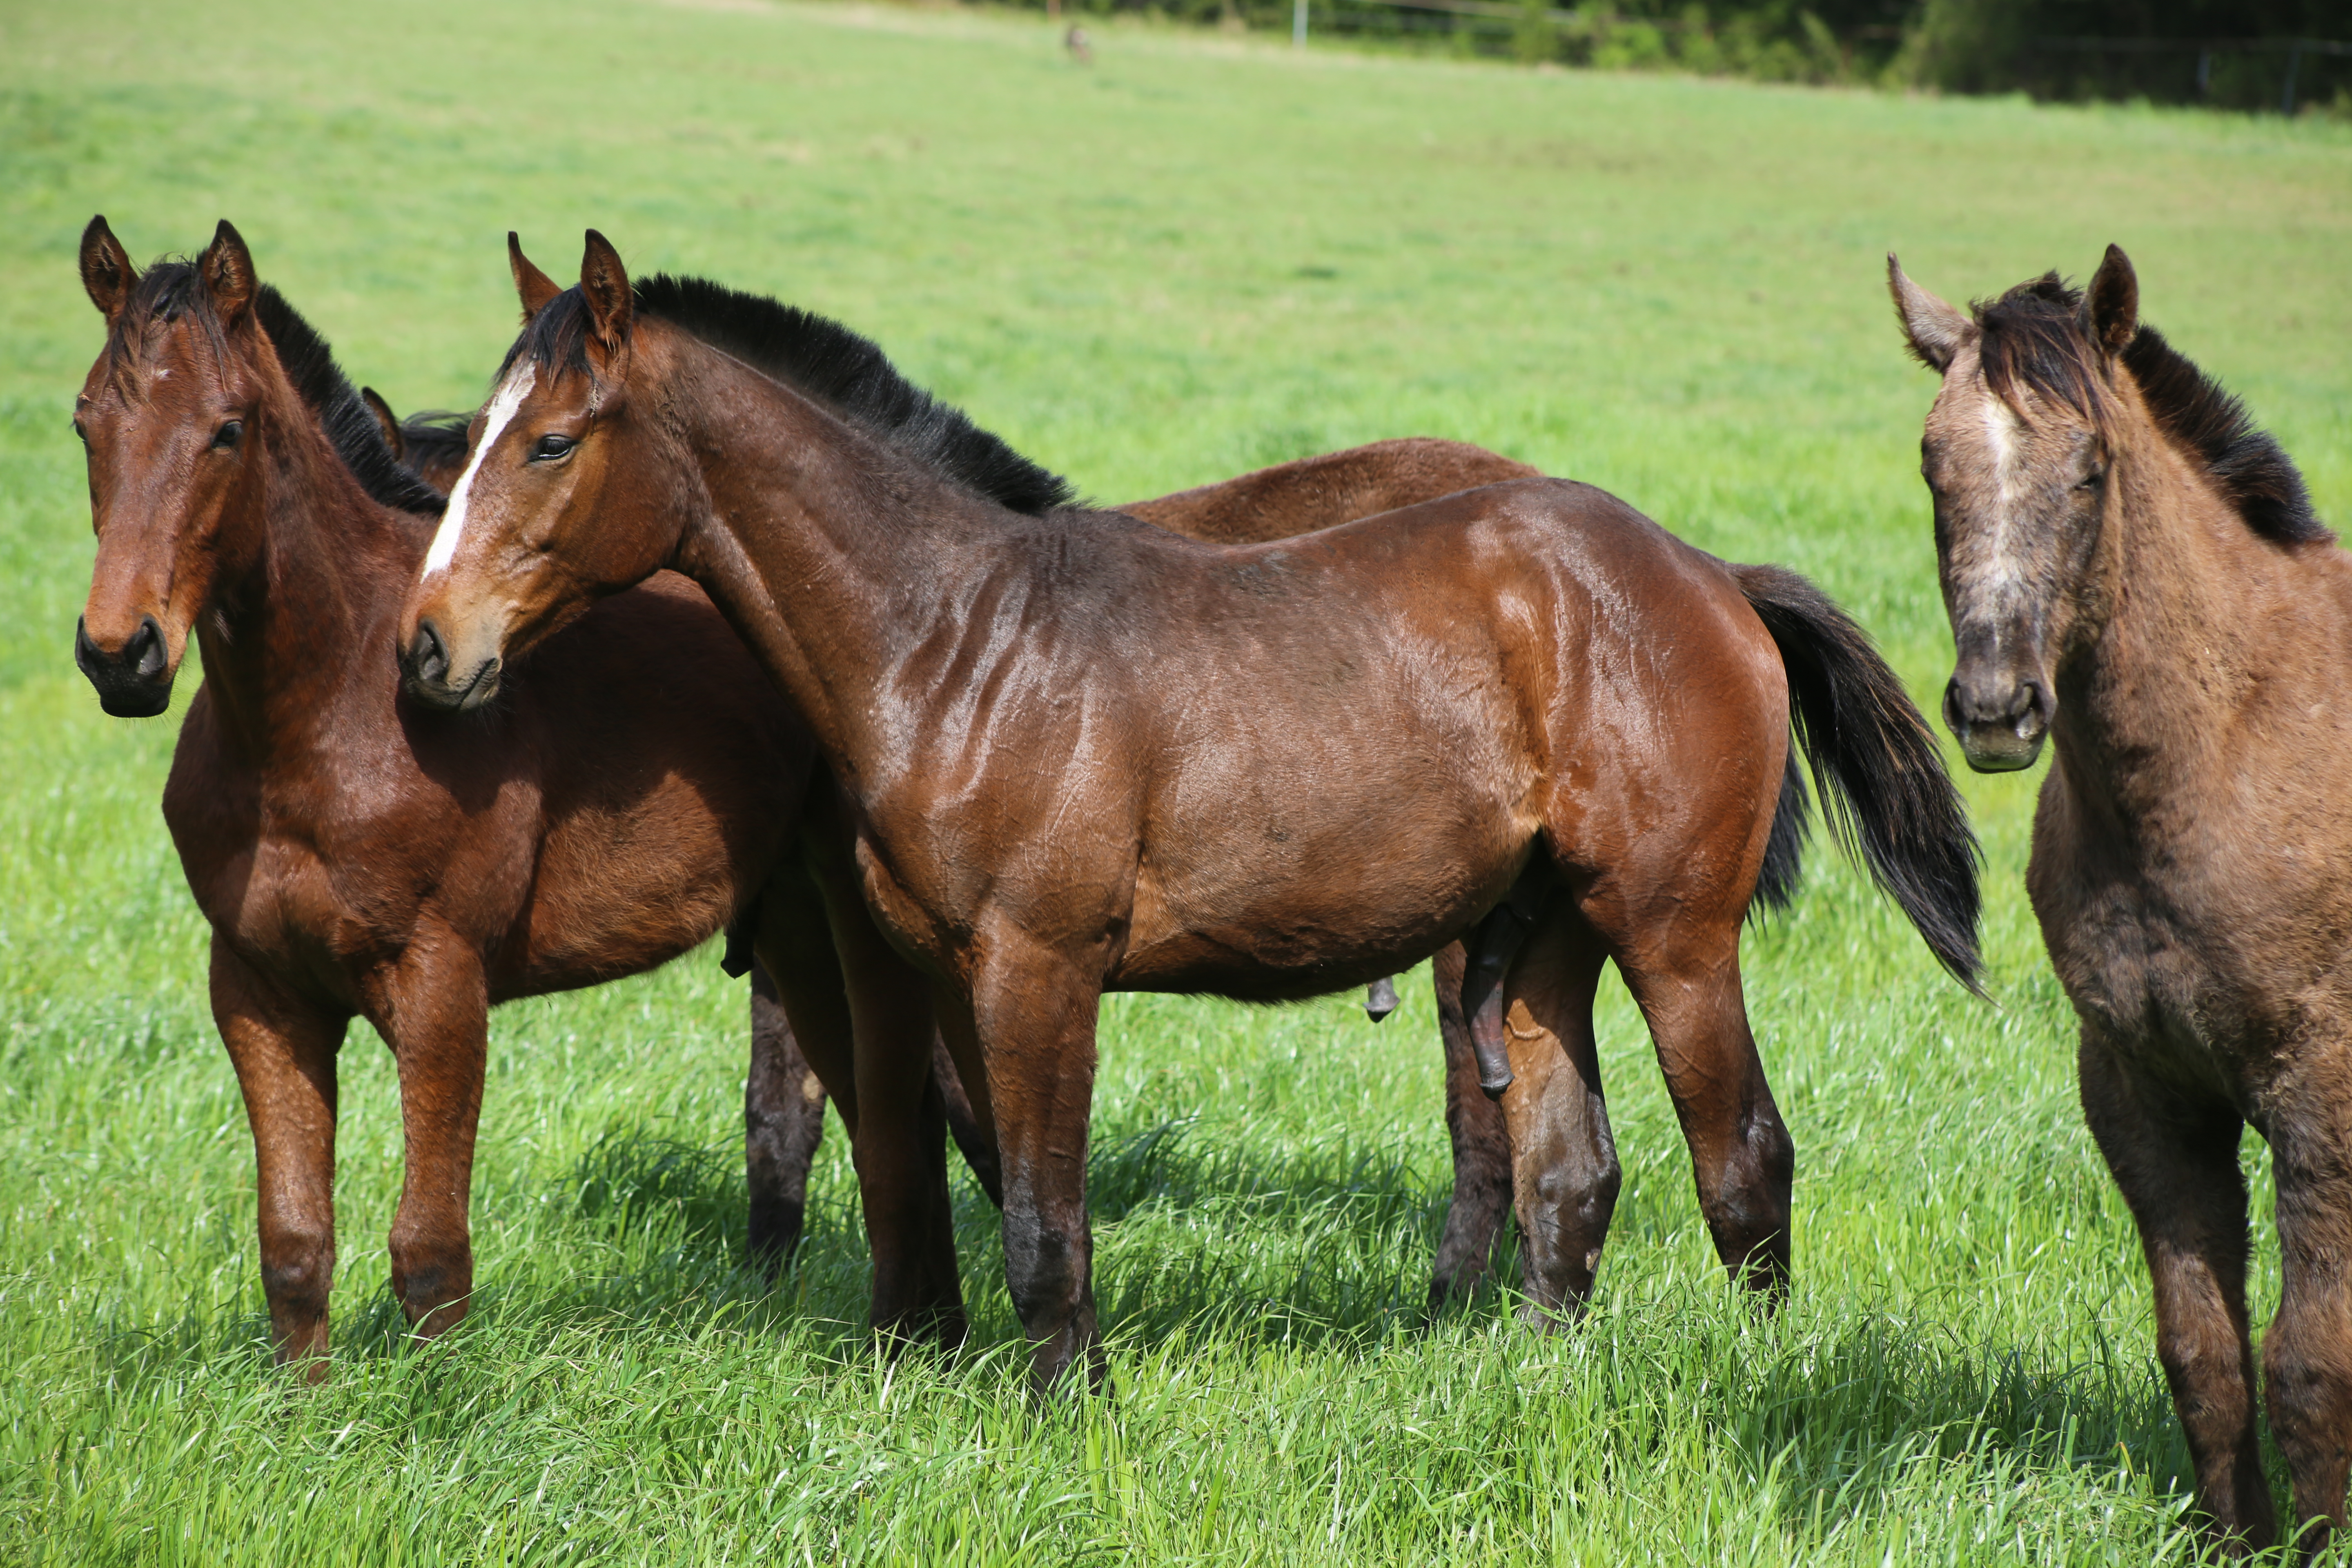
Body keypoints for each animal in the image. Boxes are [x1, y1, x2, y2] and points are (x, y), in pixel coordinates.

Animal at [404, 230, 1985, 1382]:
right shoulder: (916, 966)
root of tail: (1711, 574)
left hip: (1673, 932)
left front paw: (1070, 1404)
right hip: (1544, 937)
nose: (431, 647)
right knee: (1569, 1173)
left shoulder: (1039, 968)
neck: (953, 644)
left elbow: (1042, 1218)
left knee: (1743, 1163)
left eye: (549, 443)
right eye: (467, 441)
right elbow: (937, 1169)